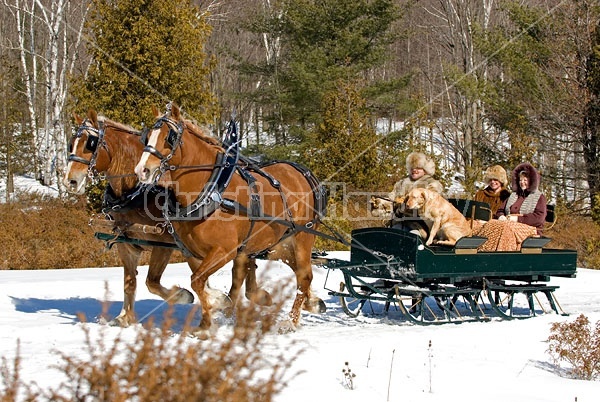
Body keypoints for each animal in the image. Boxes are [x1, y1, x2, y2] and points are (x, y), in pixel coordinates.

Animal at [63, 109, 264, 326]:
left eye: (90, 143)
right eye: (72, 142)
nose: (70, 181)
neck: (137, 191)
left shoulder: (163, 243)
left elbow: (152, 281)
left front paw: (187, 296)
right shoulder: (126, 243)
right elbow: (130, 282)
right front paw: (124, 317)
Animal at [134, 103, 326, 336]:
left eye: (169, 137)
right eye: (146, 137)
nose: (142, 170)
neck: (211, 191)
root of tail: (303, 172)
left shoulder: (224, 250)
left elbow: (198, 281)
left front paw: (212, 314)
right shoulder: (193, 252)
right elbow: (201, 283)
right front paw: (210, 318)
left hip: (302, 237)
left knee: (304, 276)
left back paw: (290, 321)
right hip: (277, 245)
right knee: (296, 273)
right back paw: (310, 303)